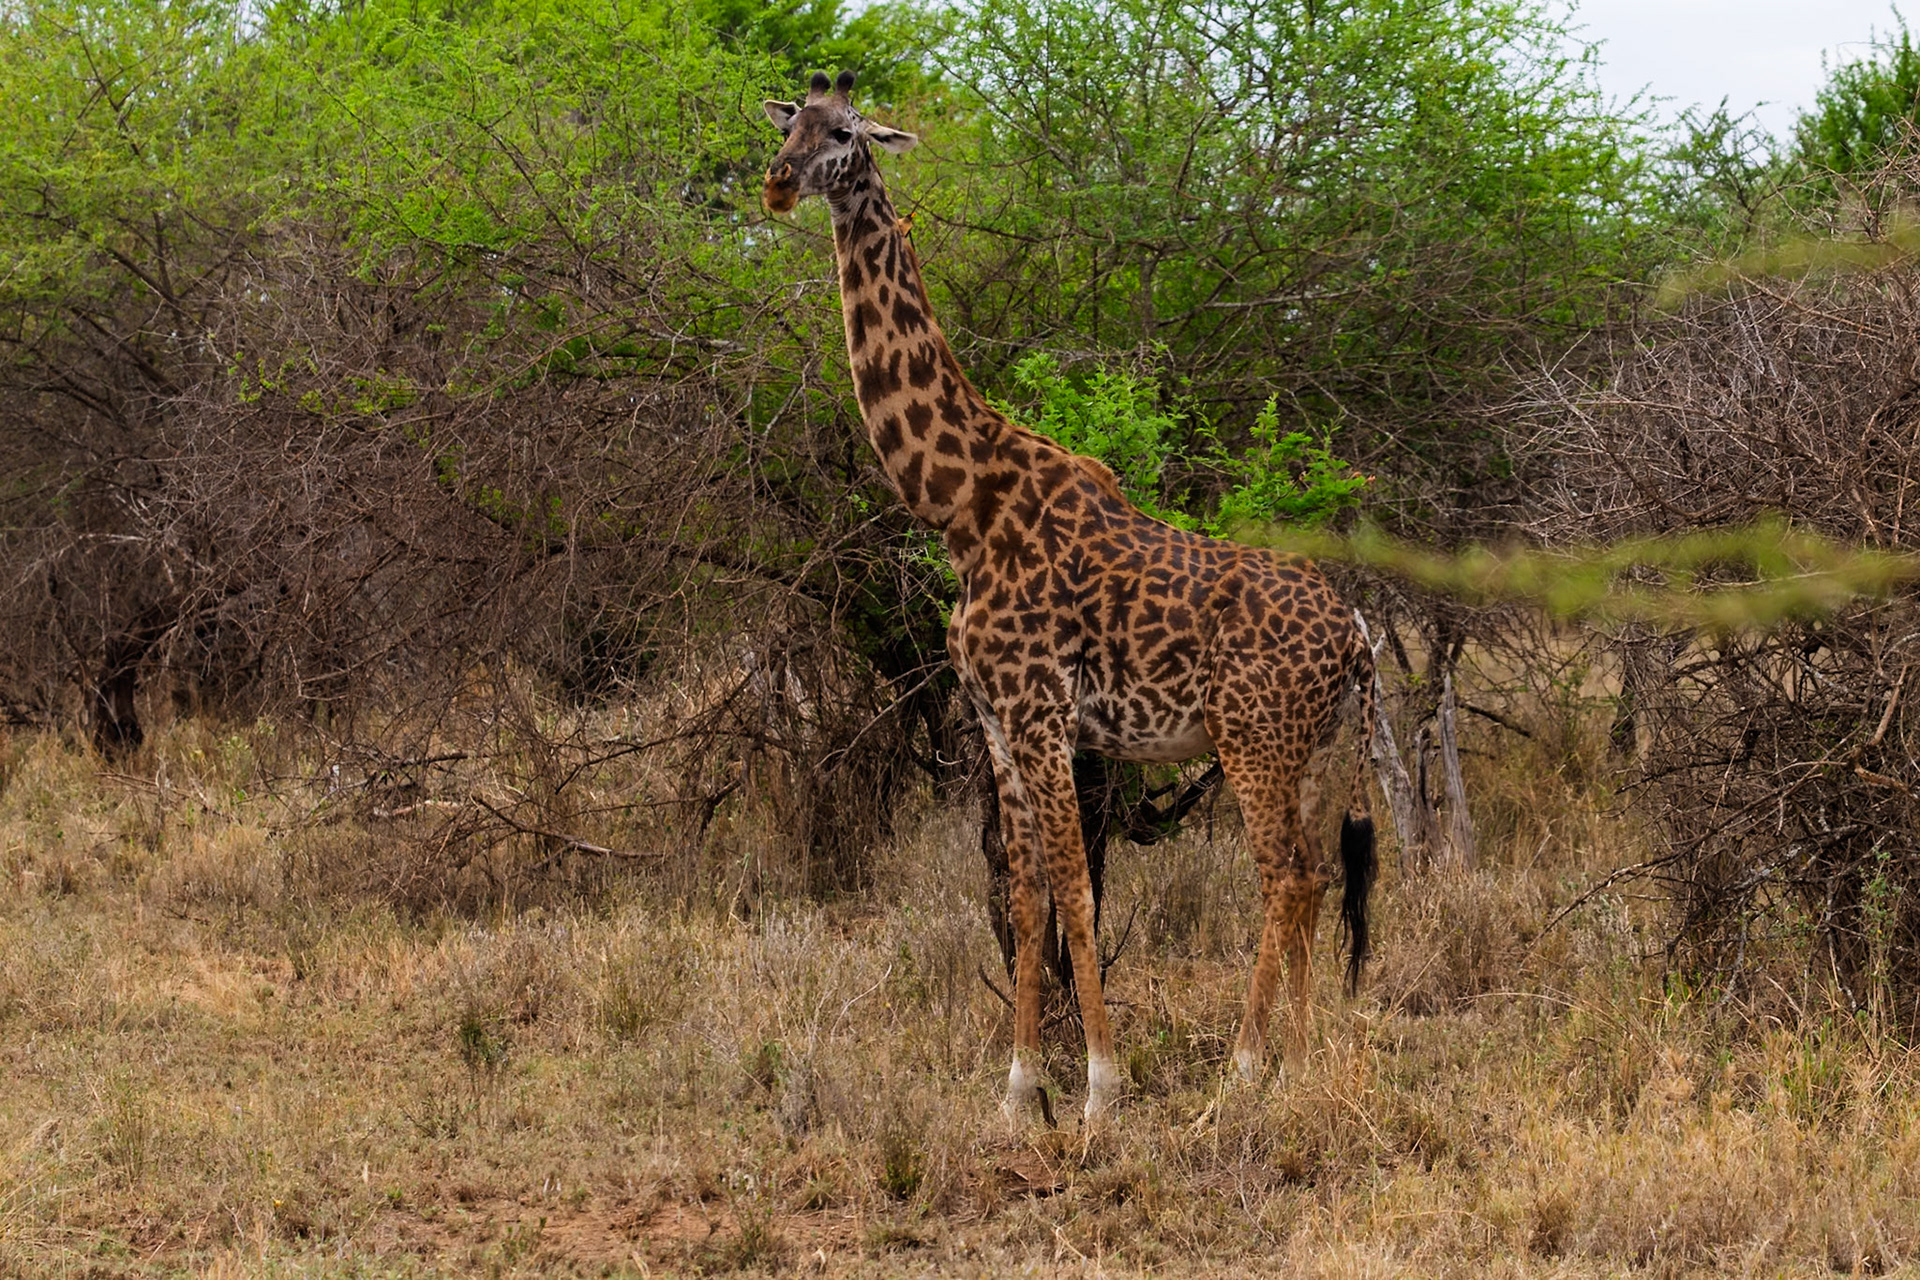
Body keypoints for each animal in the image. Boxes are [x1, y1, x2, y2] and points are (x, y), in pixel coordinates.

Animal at [763, 70, 1378, 1122]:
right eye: (788, 123)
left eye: (843, 132)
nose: (776, 181)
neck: (960, 504)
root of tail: (1360, 638)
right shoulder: (997, 721)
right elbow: (1022, 896)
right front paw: (1018, 1089)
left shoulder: (1043, 713)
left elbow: (1076, 890)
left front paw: (1099, 1087)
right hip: (1319, 747)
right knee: (1322, 877)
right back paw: (1300, 1063)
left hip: (1252, 740)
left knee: (1288, 880)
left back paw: (1240, 1076)